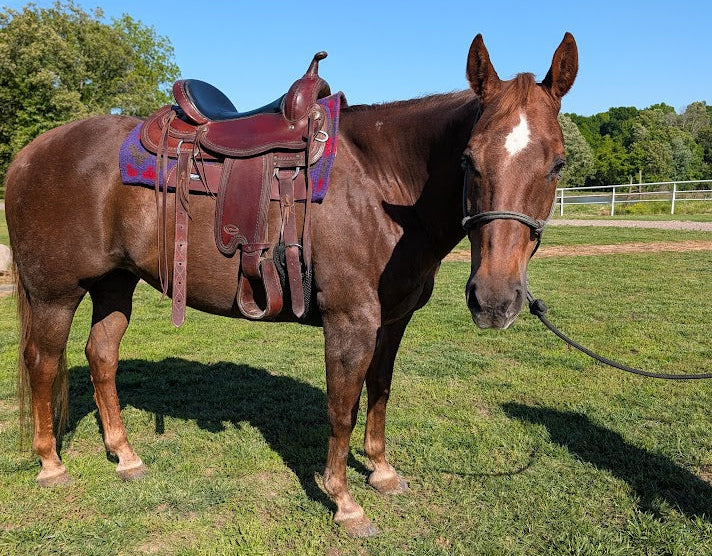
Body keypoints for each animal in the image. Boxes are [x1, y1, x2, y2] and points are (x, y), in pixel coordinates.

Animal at [5, 33, 577, 536]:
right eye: (467, 160)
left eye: (557, 164)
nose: (495, 300)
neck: (380, 185)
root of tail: (29, 154)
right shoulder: (351, 321)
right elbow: (342, 408)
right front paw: (345, 502)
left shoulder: (392, 321)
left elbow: (380, 390)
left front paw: (382, 471)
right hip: (56, 293)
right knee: (44, 363)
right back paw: (51, 464)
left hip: (114, 284)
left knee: (101, 356)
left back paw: (124, 456)